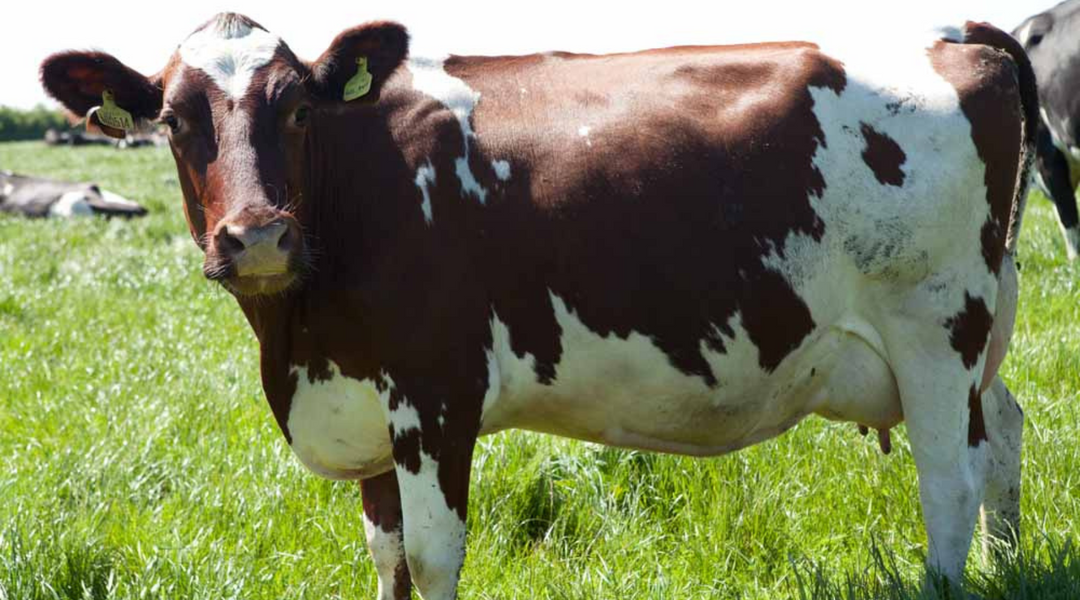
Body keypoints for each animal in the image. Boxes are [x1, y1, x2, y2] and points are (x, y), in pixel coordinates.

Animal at [42, 16, 1032, 595]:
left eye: (297, 111)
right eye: (174, 121)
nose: (256, 239)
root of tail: (954, 34)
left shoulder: (435, 396)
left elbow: (433, 555)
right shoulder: (362, 400)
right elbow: (387, 554)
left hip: (934, 330)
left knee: (949, 479)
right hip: (979, 339)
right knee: (1006, 435)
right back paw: (1005, 566)